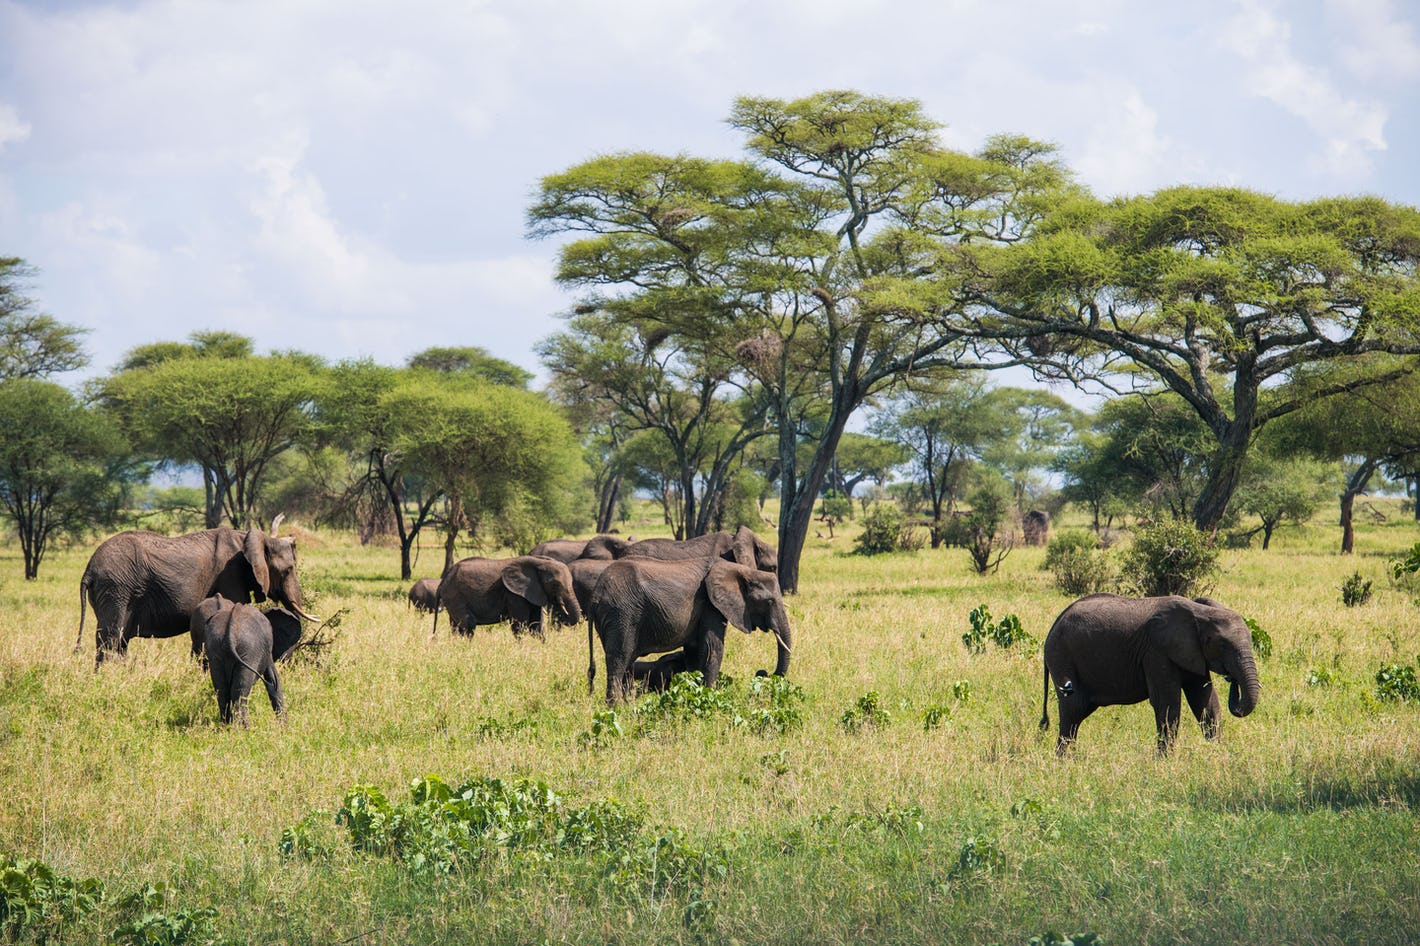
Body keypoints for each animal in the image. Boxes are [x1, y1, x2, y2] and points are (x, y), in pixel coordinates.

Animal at [77, 517, 316, 661]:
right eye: (288, 570)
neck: (251, 537)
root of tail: (88, 569)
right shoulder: (230, 575)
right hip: (116, 589)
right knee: (110, 639)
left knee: (119, 641)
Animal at [437, 553, 582, 633]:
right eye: (554, 584)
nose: (560, 603)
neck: (539, 562)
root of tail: (443, 580)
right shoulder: (514, 594)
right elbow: (520, 624)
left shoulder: (533, 592)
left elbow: (536, 625)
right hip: (455, 596)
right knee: (468, 624)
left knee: (456, 627)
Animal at [585, 556, 795, 704]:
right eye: (769, 601)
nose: (762, 672)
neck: (741, 570)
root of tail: (595, 596)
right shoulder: (712, 605)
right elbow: (712, 649)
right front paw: (711, 698)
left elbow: (694, 654)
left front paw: (694, 694)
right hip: (622, 614)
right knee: (619, 659)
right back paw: (617, 709)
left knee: (625, 662)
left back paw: (628, 706)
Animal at [1039, 593, 1260, 755]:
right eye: (1222, 645)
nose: (1232, 679)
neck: (1199, 612)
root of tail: (1053, 627)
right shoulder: (1157, 652)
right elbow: (1167, 703)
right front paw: (1165, 762)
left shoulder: (1193, 654)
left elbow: (1205, 701)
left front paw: (1218, 754)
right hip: (1062, 656)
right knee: (1073, 710)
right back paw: (1065, 762)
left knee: (1077, 714)